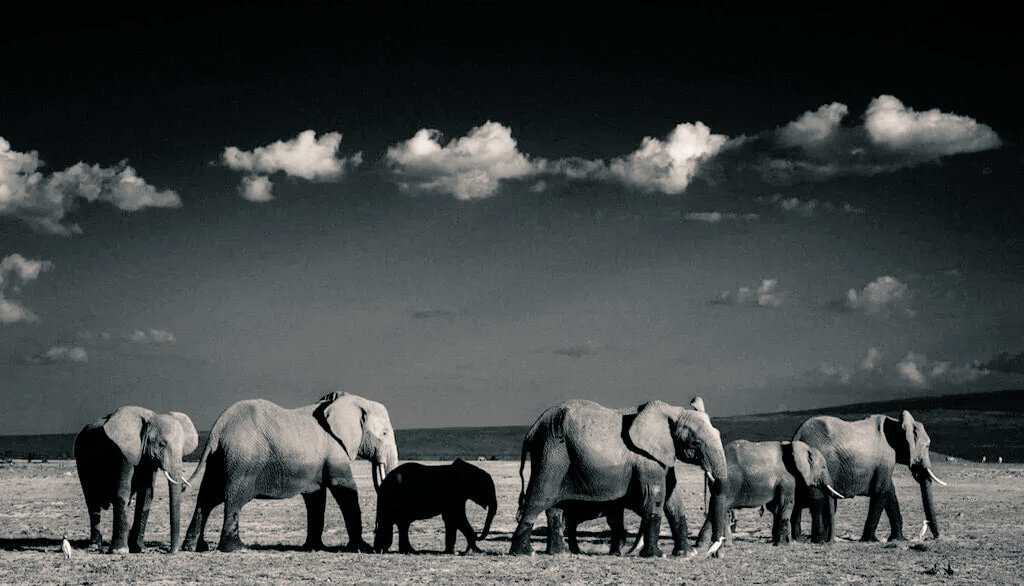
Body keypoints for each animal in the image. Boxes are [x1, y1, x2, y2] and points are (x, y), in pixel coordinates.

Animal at [74, 406, 198, 554]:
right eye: (161, 444)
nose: (169, 551)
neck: (151, 418)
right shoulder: (124, 451)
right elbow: (122, 492)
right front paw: (120, 550)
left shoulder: (148, 458)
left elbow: (146, 495)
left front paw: (140, 549)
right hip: (81, 459)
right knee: (92, 503)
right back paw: (94, 546)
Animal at [181, 391, 399, 552]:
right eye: (384, 433)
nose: (378, 544)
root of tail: (218, 428)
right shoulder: (335, 449)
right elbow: (344, 488)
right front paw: (362, 547)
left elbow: (316, 497)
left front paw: (315, 547)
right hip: (242, 460)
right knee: (233, 498)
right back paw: (236, 548)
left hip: (218, 460)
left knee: (207, 498)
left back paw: (194, 547)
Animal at [509, 399, 729, 558]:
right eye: (696, 443)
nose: (710, 553)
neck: (673, 411)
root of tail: (531, 430)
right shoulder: (646, 457)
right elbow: (656, 495)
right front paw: (656, 555)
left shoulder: (663, 455)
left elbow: (673, 498)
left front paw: (685, 554)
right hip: (552, 453)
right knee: (539, 498)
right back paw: (524, 553)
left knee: (555, 507)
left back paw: (559, 554)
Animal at [694, 440, 846, 548]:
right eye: (824, 467)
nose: (825, 543)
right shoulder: (787, 479)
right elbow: (786, 505)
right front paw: (784, 545)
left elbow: (776, 508)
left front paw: (776, 541)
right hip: (727, 482)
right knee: (721, 505)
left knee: (717, 508)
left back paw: (707, 545)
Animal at [791, 410, 946, 543]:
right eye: (927, 446)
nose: (936, 537)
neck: (896, 424)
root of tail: (797, 436)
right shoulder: (885, 459)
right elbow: (881, 491)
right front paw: (871, 540)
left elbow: (890, 492)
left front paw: (898, 539)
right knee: (818, 499)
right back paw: (819, 540)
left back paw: (802, 539)